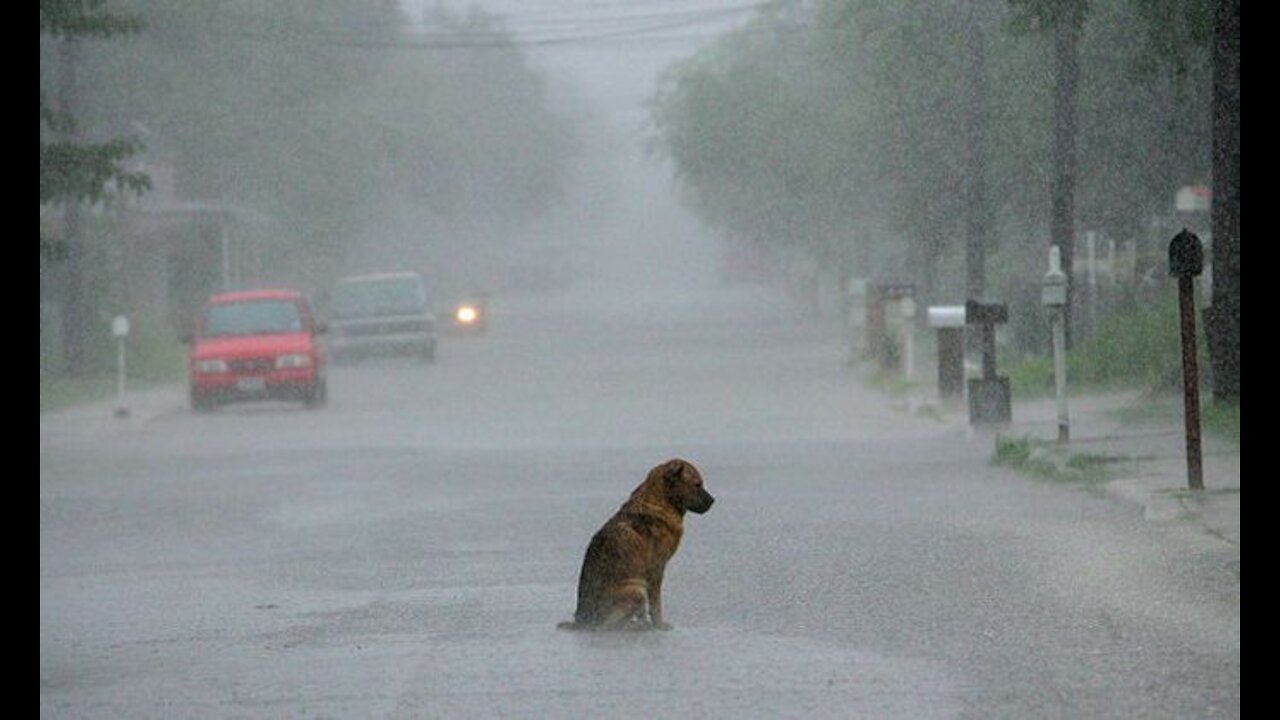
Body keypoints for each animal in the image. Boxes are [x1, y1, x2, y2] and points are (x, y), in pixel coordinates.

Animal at [560, 458, 721, 627]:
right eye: (697, 484)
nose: (713, 501)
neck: (660, 502)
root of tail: (581, 620)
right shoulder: (656, 569)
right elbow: (656, 604)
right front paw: (659, 625)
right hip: (637, 591)